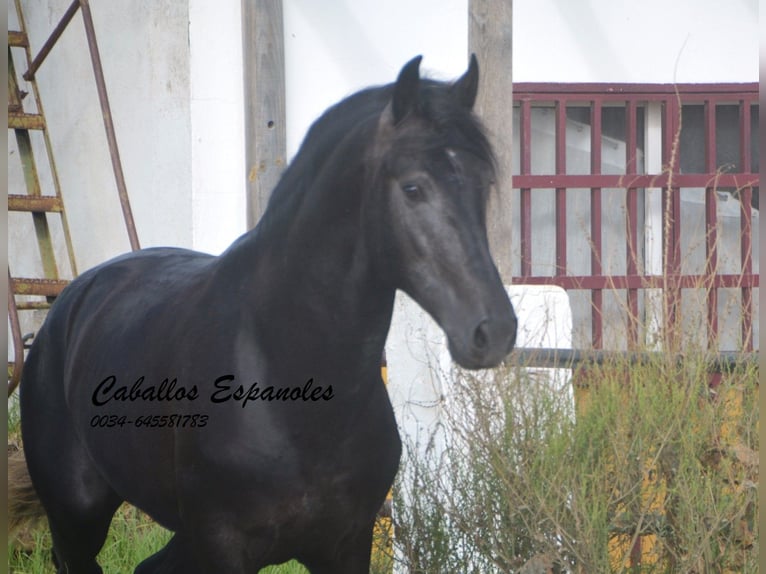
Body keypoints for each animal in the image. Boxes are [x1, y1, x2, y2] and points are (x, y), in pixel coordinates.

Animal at [13, 57, 516, 574]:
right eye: (414, 188)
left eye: (484, 185)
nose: (493, 330)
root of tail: (68, 306)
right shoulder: (223, 546)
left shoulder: (345, 546)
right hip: (77, 517)